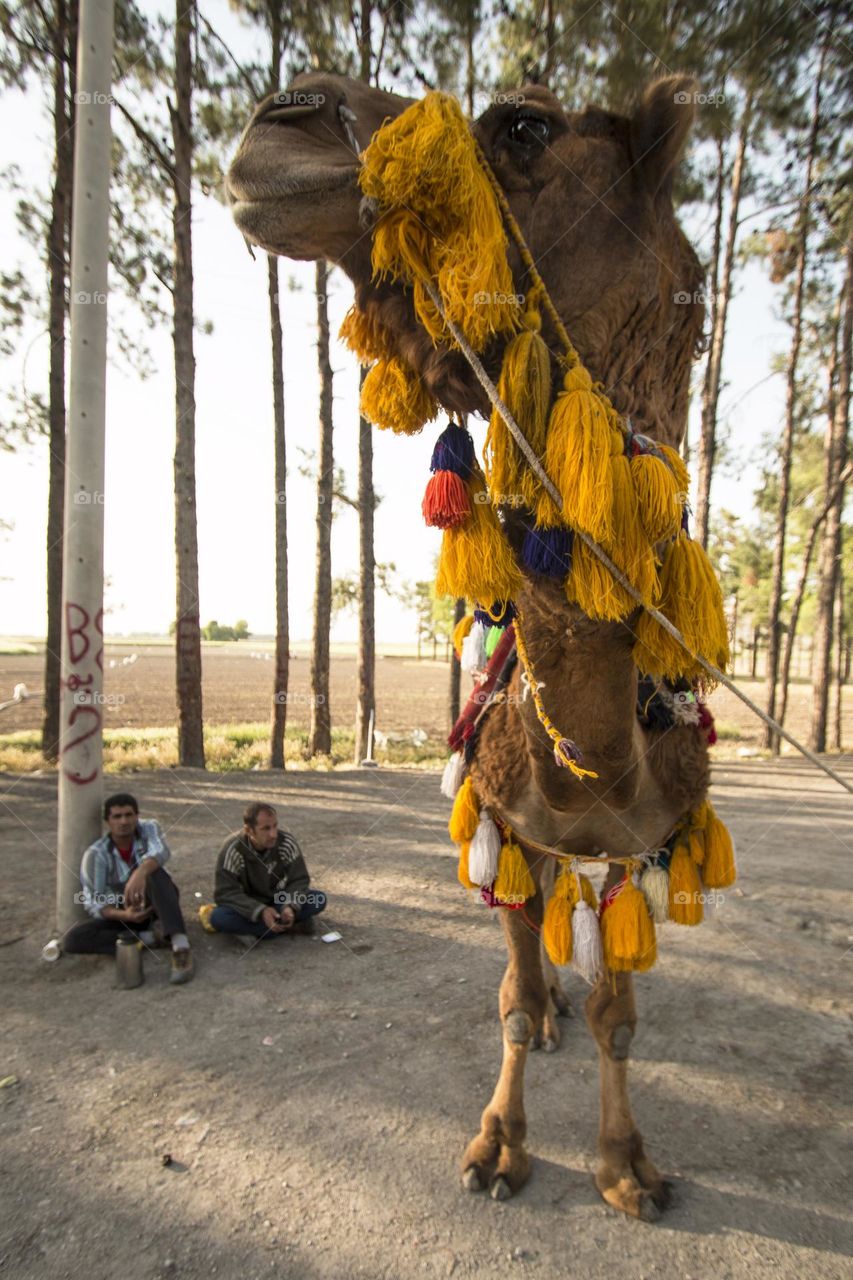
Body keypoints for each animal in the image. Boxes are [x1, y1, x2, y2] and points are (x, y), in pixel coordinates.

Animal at [227, 72, 713, 1221]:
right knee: (521, 941)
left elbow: (618, 1015)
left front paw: (628, 1168)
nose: (281, 116)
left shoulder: (633, 845)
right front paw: (498, 1145)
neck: (599, 760)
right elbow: (508, 992)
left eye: (525, 126)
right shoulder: (507, 812)